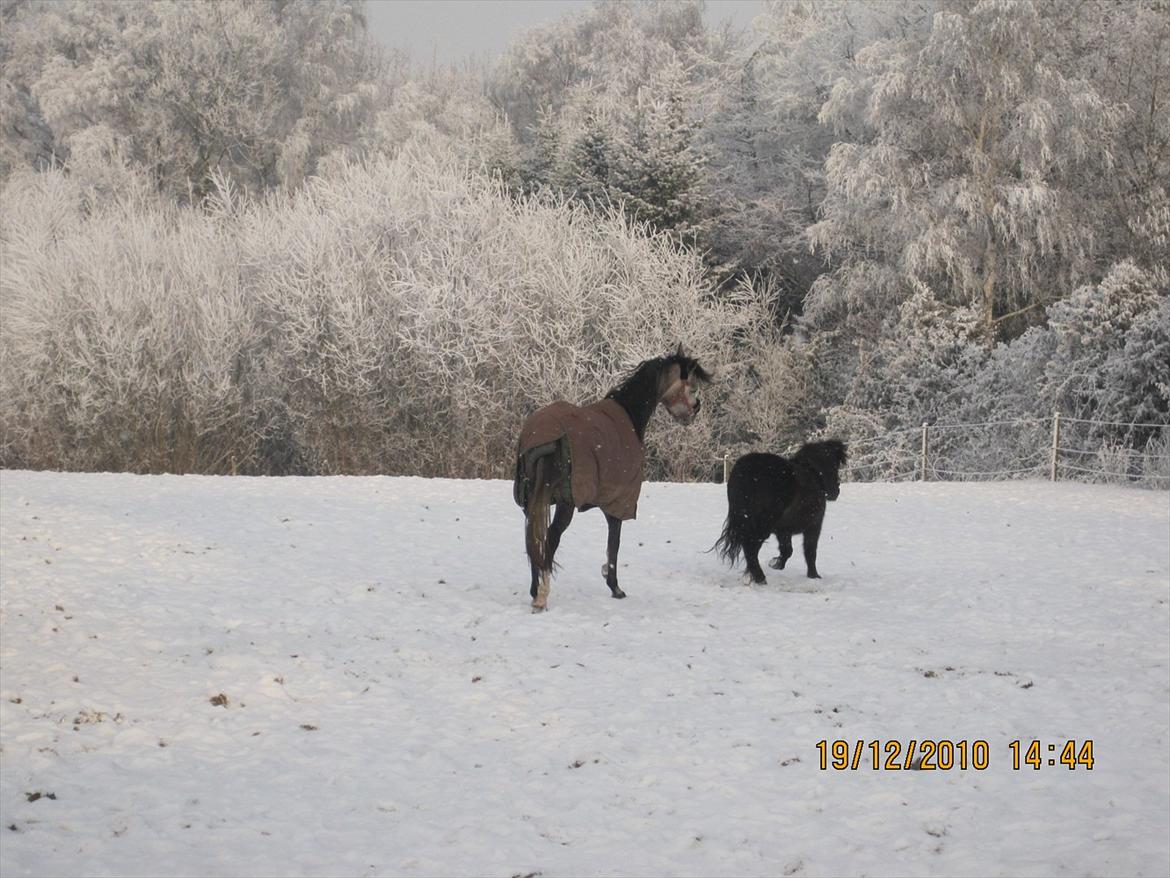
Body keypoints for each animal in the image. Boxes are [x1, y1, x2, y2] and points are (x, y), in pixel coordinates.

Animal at [514, 348, 711, 613]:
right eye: (691, 386)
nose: (694, 411)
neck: (629, 414)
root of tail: (541, 436)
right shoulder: (619, 502)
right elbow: (613, 546)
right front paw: (615, 588)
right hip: (565, 504)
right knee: (550, 539)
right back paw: (542, 596)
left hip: (531, 502)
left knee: (533, 538)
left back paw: (535, 590)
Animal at [711, 440, 851, 585]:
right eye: (835, 465)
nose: (836, 491)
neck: (814, 474)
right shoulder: (814, 526)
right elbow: (810, 552)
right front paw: (814, 576)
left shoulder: (783, 531)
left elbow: (787, 550)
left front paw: (776, 564)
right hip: (762, 526)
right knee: (751, 547)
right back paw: (760, 578)